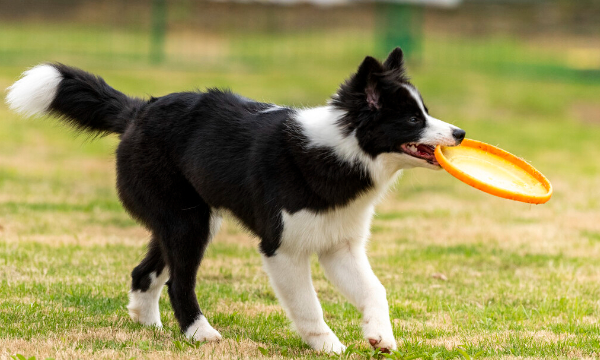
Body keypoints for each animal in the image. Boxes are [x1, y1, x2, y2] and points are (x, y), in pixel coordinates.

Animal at [7, 47, 464, 352]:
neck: (340, 150)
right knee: (178, 281)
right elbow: (308, 304)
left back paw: (148, 323)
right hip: (187, 222)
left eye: (425, 110)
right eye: (412, 118)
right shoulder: (282, 248)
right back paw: (198, 333)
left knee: (144, 272)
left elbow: (375, 290)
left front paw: (379, 335)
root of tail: (139, 111)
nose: (460, 134)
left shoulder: (340, 246)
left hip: (188, 218)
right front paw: (327, 345)